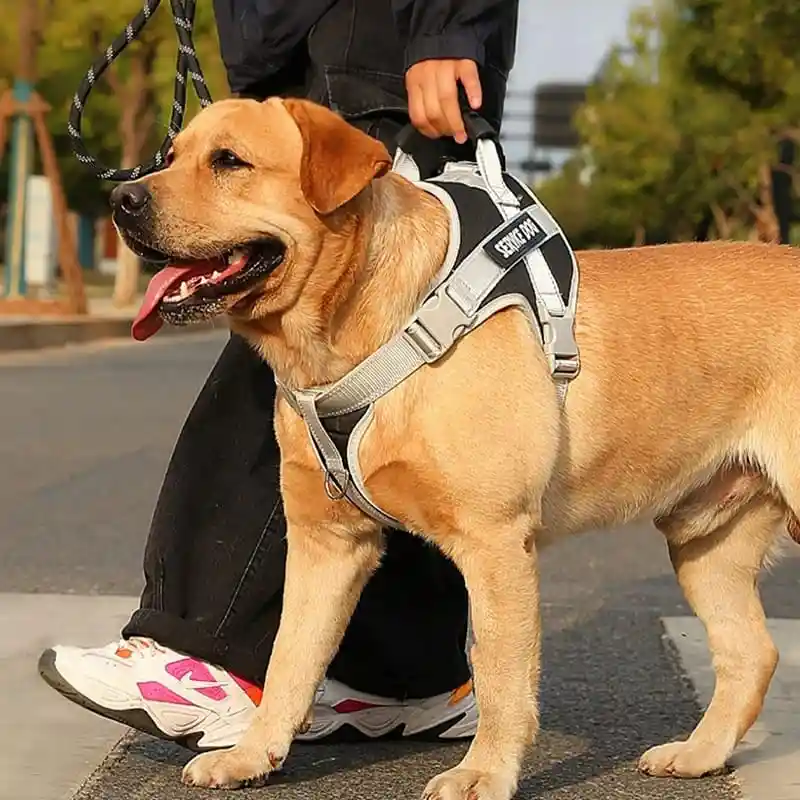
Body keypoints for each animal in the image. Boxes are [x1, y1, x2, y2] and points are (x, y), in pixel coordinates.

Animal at [109, 97, 796, 796]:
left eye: (230, 161)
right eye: (169, 156)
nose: (121, 199)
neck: (354, 335)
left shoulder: (495, 541)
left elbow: (499, 675)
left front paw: (484, 772)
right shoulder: (326, 542)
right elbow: (288, 660)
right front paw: (251, 755)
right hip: (705, 542)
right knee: (753, 653)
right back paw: (699, 752)